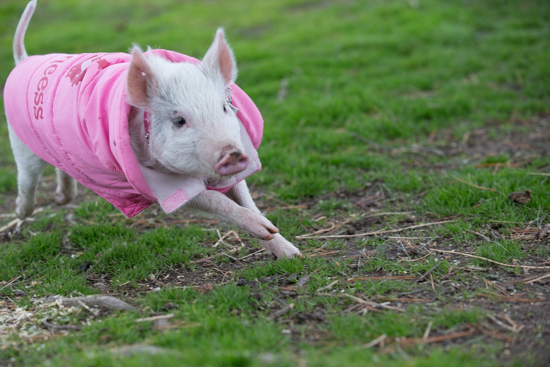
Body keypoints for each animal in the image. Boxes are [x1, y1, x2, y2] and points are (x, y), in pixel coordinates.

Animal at [4, 0, 302, 258]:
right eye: (179, 120)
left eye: (225, 108)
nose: (232, 153)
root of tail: (23, 61)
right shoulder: (157, 184)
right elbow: (215, 200)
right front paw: (273, 235)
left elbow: (245, 198)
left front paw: (290, 252)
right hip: (20, 144)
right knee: (27, 181)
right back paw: (19, 215)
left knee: (63, 169)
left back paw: (60, 199)